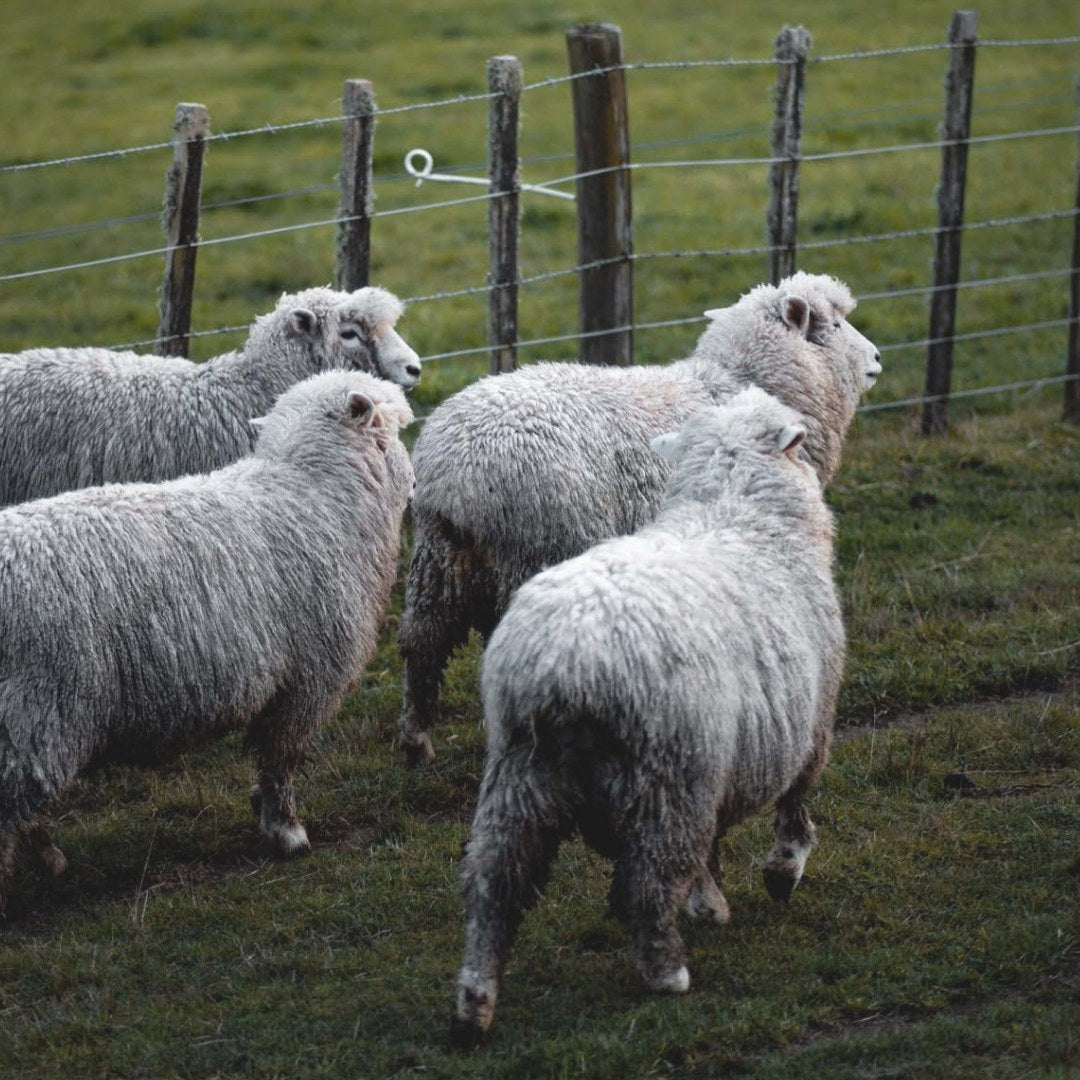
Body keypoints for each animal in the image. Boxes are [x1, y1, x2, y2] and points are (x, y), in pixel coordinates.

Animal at [0, 367, 412, 907]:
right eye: (394, 432)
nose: (415, 484)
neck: (312, 493)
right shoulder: (307, 680)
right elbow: (280, 758)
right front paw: (287, 832)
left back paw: (49, 858)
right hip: (36, 710)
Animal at [397, 267, 876, 768]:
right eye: (836, 325)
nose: (877, 360)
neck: (735, 383)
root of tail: (456, 473)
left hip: (440, 559)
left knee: (421, 640)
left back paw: (416, 742)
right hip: (539, 547)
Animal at [447, 388, 842, 1045]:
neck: (735, 512)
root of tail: (566, 663)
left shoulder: (723, 762)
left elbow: (713, 847)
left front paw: (711, 903)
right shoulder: (809, 725)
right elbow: (794, 806)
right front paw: (780, 873)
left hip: (519, 776)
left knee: (492, 887)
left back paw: (475, 1003)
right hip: (669, 777)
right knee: (649, 883)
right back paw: (666, 973)